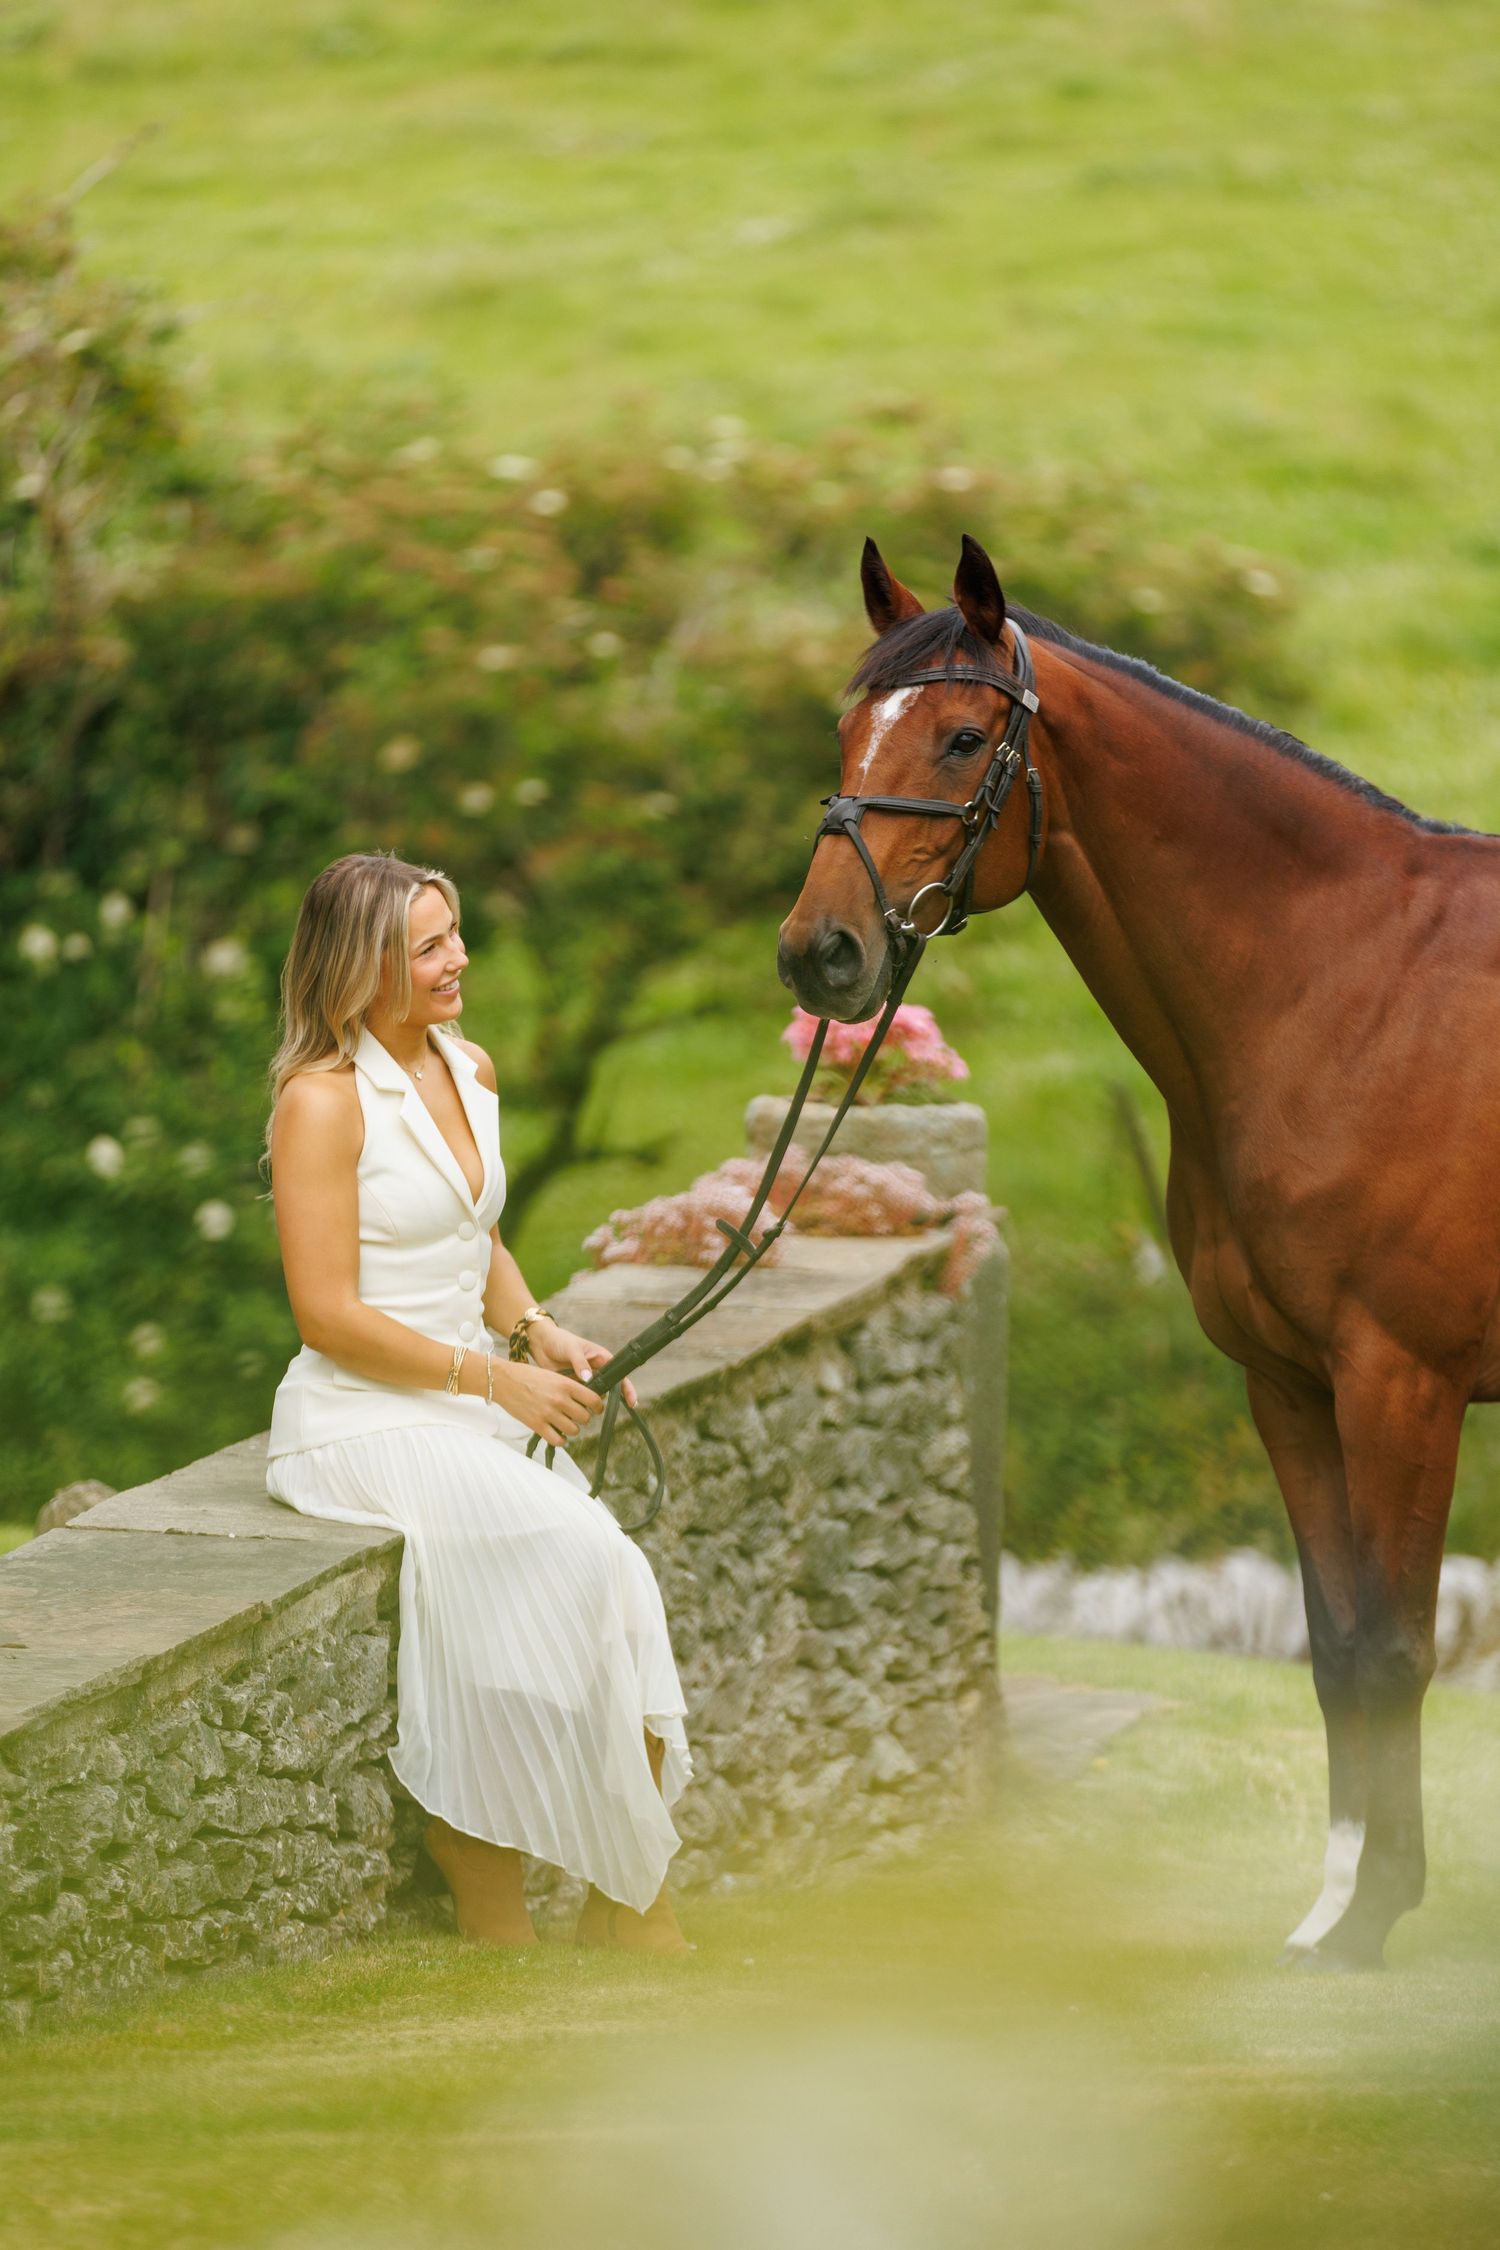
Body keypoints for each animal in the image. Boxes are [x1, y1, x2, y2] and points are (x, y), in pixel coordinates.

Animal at [777, 532, 1500, 1970]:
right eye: (846, 727)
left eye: (960, 737)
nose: (821, 952)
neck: (1345, 990)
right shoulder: (1285, 1384)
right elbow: (1335, 1649)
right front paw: (1337, 1900)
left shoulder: (1402, 1384)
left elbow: (1396, 1648)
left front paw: (1373, 1912)